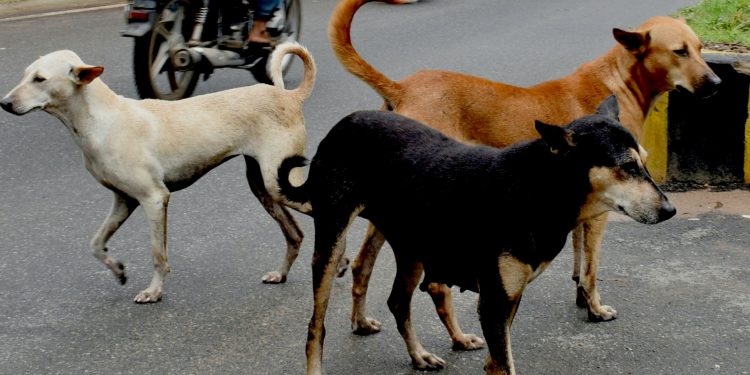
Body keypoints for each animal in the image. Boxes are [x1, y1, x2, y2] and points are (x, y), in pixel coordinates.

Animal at [0, 42, 318, 304]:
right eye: (25, 75)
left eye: (39, 79)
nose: (4, 103)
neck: (102, 120)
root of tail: (289, 97)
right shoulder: (123, 201)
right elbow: (96, 244)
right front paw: (118, 269)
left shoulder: (154, 198)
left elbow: (157, 254)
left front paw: (154, 291)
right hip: (263, 186)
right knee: (295, 234)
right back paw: (281, 273)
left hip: (279, 182)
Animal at [280, 96, 680, 374]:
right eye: (627, 167)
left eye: (645, 162)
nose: (670, 211)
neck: (538, 189)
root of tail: (341, 126)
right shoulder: (494, 302)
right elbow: (504, 362)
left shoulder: (508, 298)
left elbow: (496, 361)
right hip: (332, 244)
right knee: (316, 327)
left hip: (410, 245)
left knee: (396, 300)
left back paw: (418, 354)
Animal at [332, 0, 724, 350]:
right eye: (679, 52)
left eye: (700, 47)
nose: (718, 82)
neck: (618, 79)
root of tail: (401, 87)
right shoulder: (600, 213)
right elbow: (592, 268)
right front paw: (595, 307)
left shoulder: (577, 211)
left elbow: (579, 261)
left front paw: (581, 297)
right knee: (434, 285)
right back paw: (457, 337)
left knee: (363, 264)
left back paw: (361, 320)